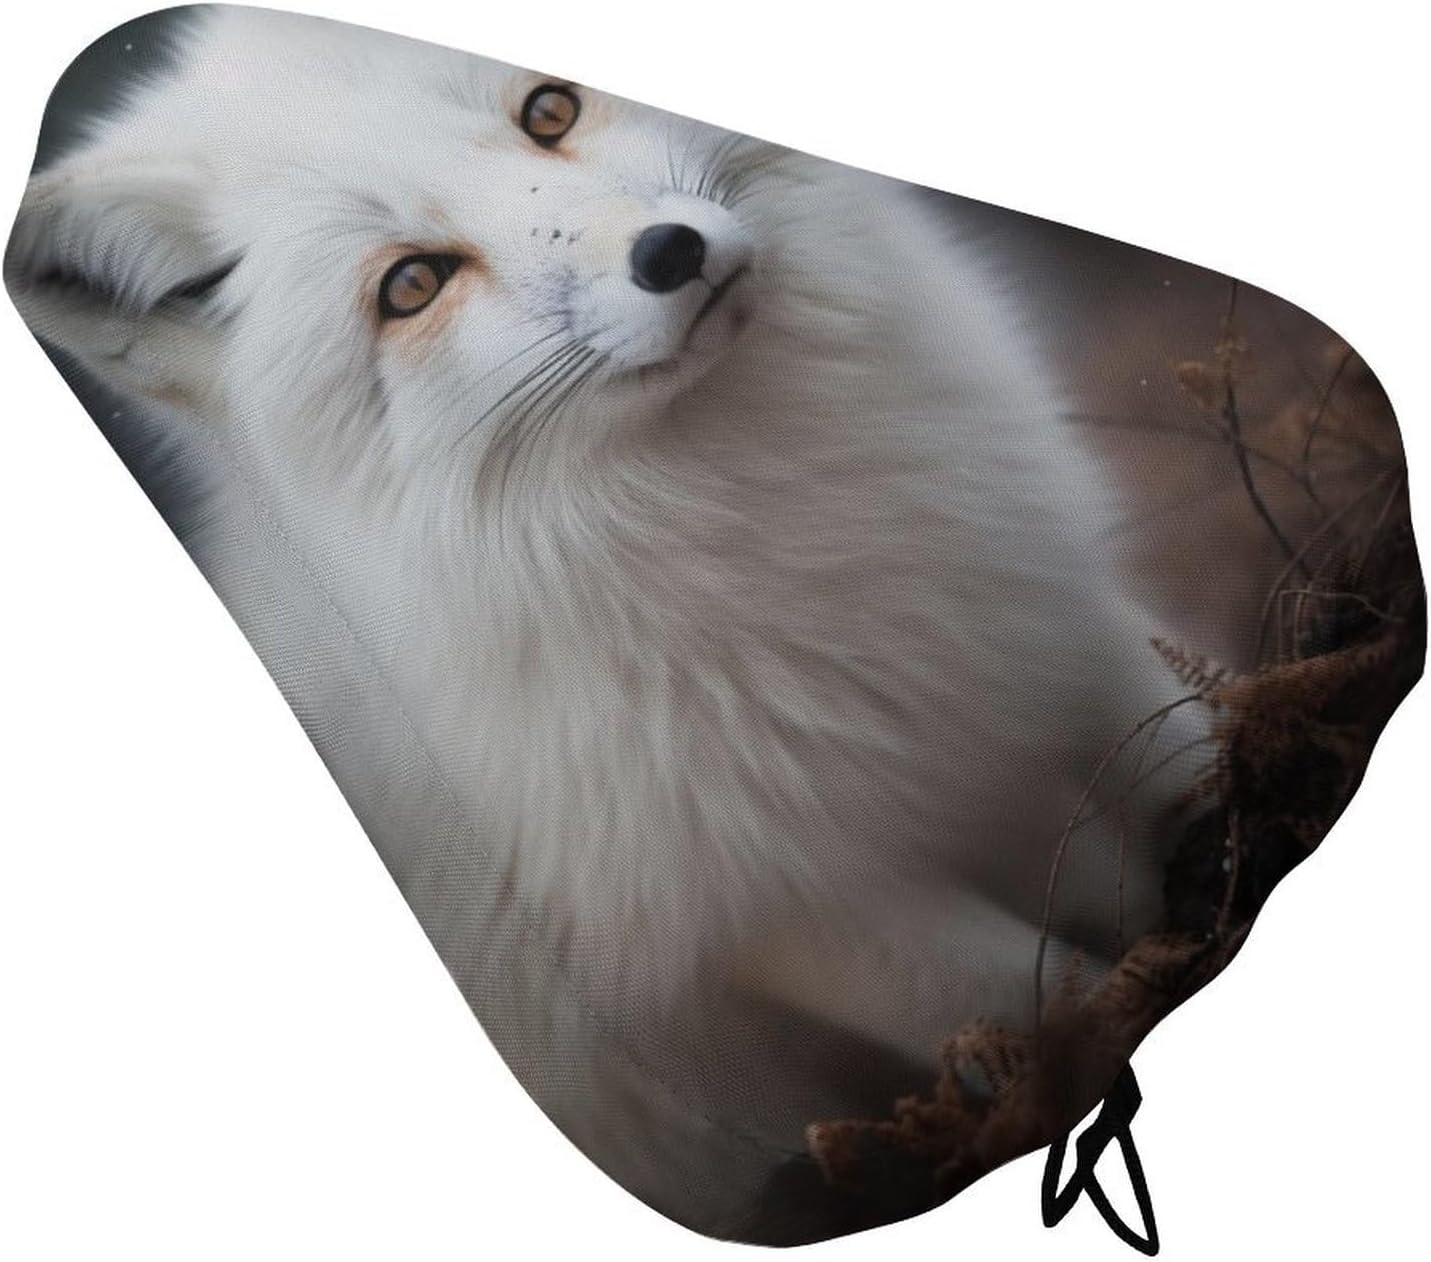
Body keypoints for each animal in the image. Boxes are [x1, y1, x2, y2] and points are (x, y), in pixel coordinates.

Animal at [6, 5, 1209, 1241]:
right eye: (411, 286)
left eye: (549, 110)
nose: (669, 253)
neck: (780, 535)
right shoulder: (761, 907)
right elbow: (1045, 991)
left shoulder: (1055, 624)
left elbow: (1190, 751)